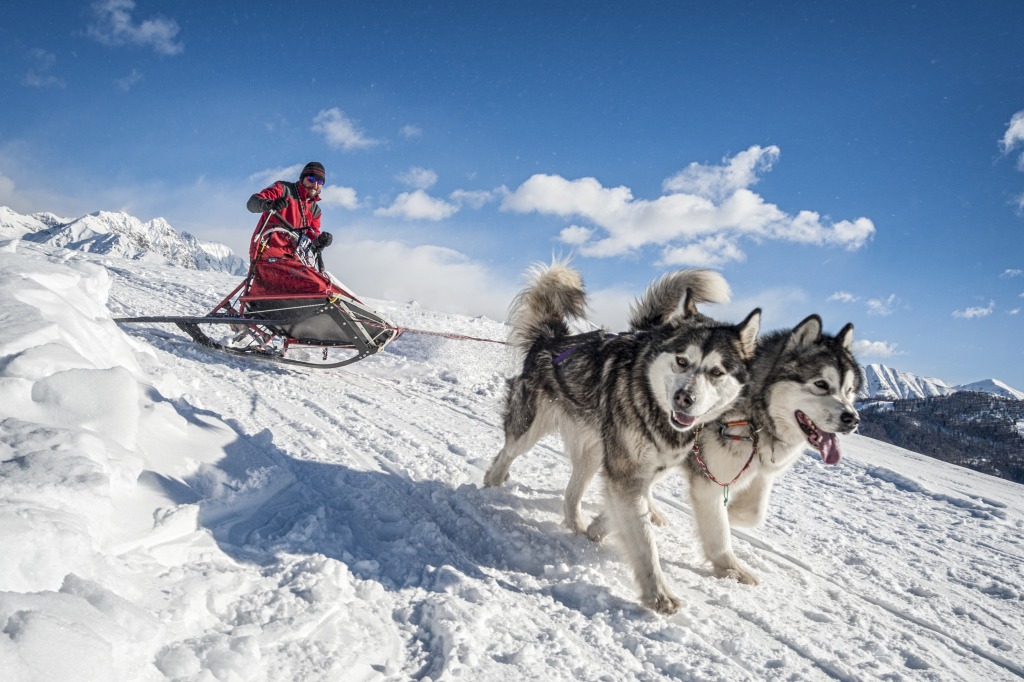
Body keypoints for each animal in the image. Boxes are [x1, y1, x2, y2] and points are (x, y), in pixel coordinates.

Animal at [481, 260, 761, 610]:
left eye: (717, 372)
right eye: (682, 360)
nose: (685, 398)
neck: (652, 405)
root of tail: (550, 341)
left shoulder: (647, 469)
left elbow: (633, 515)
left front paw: (599, 529)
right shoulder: (627, 474)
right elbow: (644, 543)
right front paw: (659, 594)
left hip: (591, 455)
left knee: (571, 495)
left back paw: (577, 525)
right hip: (529, 429)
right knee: (505, 454)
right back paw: (491, 487)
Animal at [688, 313, 864, 585]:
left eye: (849, 390)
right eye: (821, 384)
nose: (852, 419)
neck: (755, 415)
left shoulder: (759, 470)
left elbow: (754, 512)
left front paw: (731, 515)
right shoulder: (709, 480)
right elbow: (719, 530)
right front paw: (731, 569)